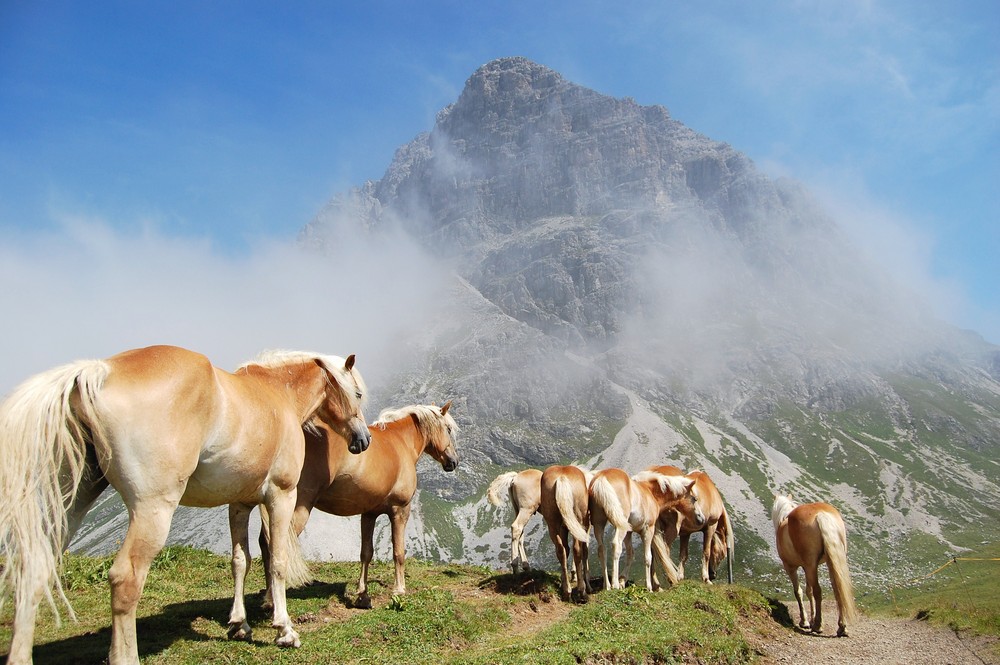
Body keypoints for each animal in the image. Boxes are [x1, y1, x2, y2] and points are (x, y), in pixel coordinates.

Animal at [0, 344, 372, 660]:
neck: (278, 394)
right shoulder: (281, 496)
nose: (363, 439)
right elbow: (277, 560)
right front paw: (285, 630)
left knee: (35, 570)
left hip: (69, 505)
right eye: (357, 393)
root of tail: (99, 372)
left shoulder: (239, 504)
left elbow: (241, 561)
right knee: (125, 579)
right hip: (152, 511)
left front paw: (239, 625)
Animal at [260, 400, 458, 608]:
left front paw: (362, 594)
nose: (453, 461)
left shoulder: (369, 514)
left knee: (264, 544)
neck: (401, 442)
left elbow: (366, 553)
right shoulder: (400, 510)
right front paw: (399, 589)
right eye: (448, 429)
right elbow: (398, 552)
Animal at [540, 462, 592, 600]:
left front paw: (563, 581)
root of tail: (561, 478)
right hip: (578, 521)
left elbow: (566, 550)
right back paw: (582, 591)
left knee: (561, 550)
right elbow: (585, 551)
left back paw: (566, 591)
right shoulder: (585, 528)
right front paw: (588, 586)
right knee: (577, 550)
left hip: (552, 525)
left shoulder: (563, 528)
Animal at [768, 496, 856, 636]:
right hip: (831, 562)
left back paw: (818, 626)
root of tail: (820, 514)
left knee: (818, 591)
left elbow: (799, 592)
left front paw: (805, 621)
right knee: (837, 590)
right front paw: (811, 619)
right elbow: (808, 591)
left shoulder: (790, 567)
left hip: (811, 565)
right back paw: (842, 627)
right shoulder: (806, 567)